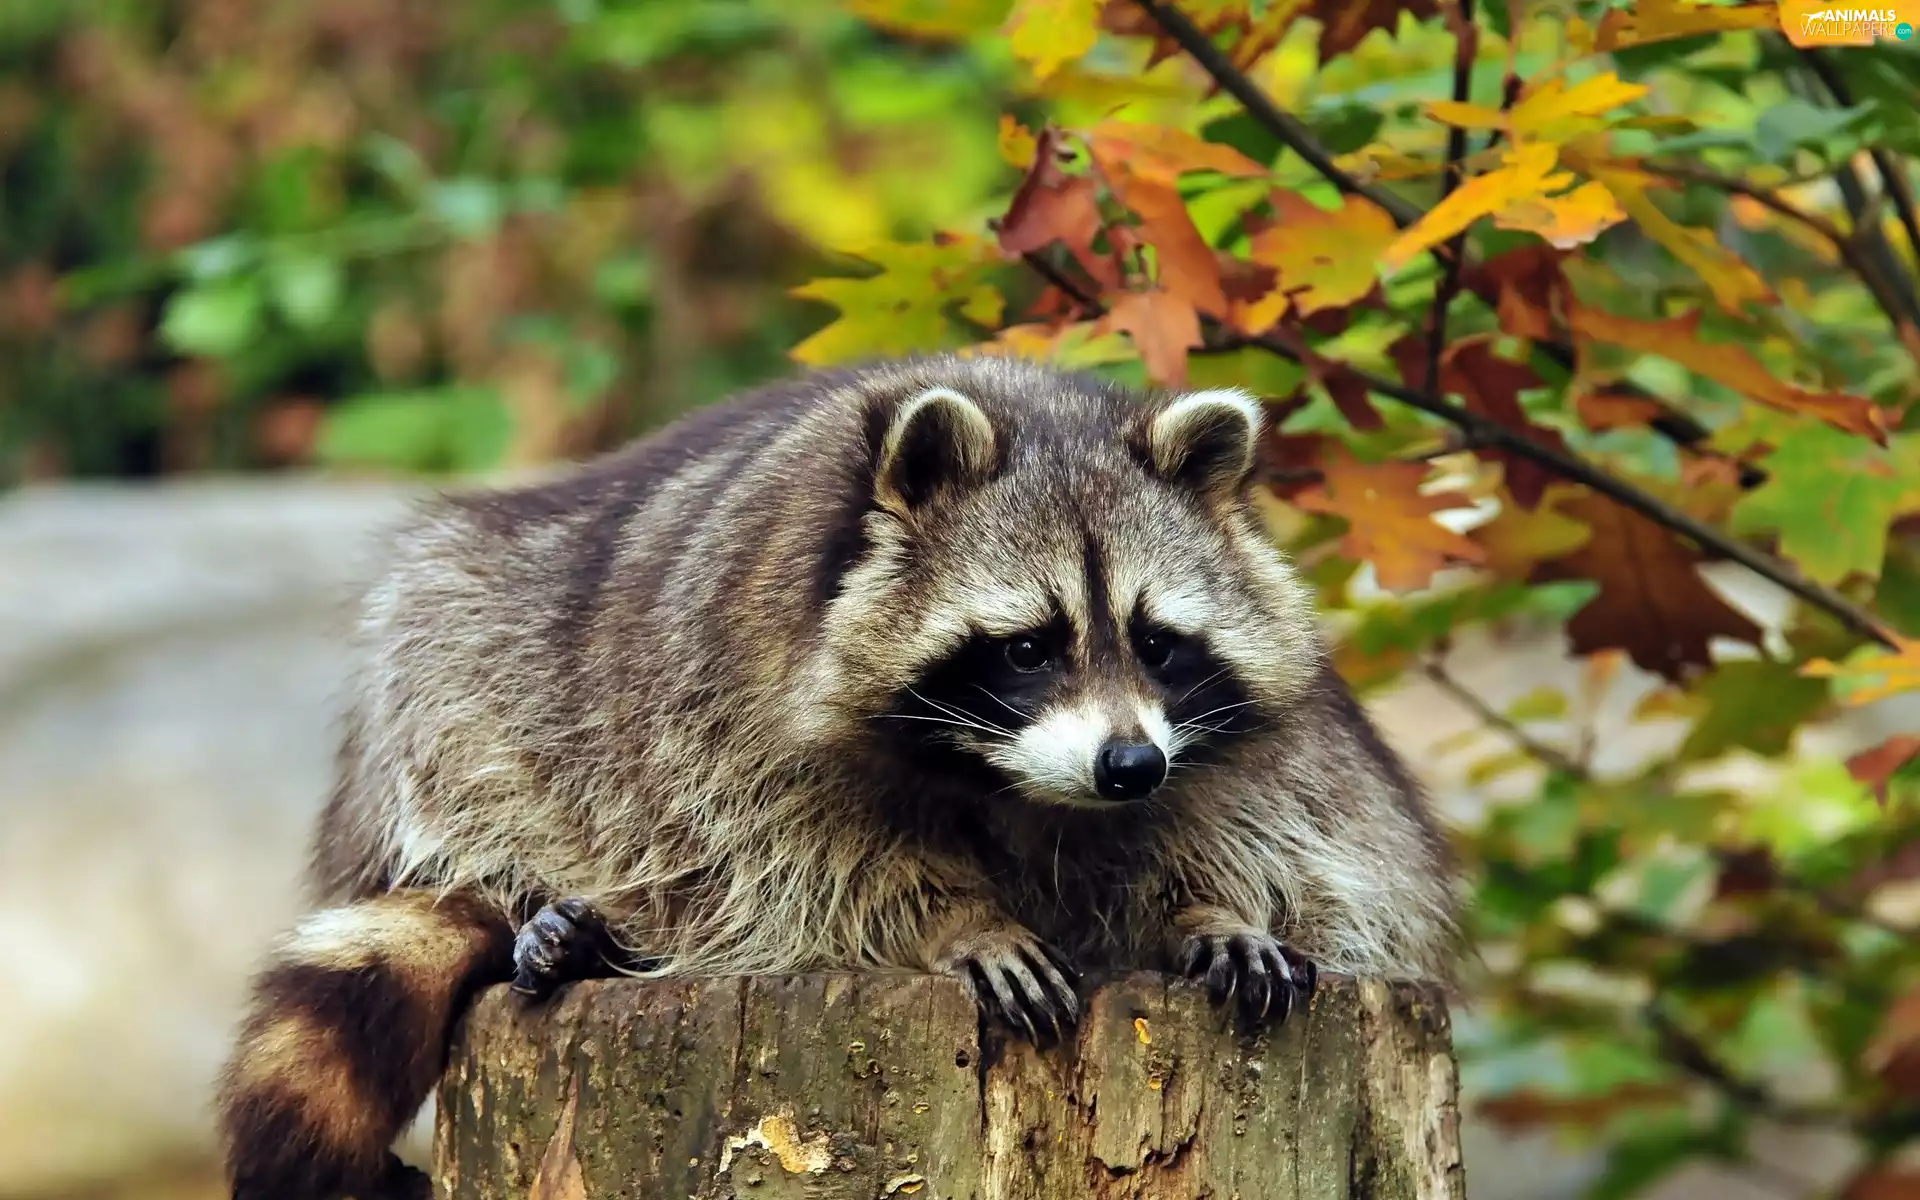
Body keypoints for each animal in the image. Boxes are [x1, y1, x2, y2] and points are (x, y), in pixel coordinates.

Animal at [216, 354, 1458, 1200]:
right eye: (1027, 646)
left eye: (1158, 642)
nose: (1127, 764)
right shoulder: (726, 716)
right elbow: (796, 865)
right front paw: (953, 920)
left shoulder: (1256, 741)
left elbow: (1297, 834)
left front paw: (1213, 908)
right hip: (460, 645)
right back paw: (555, 923)